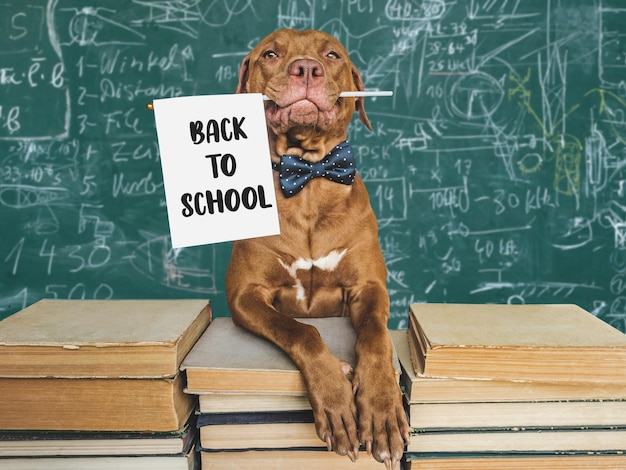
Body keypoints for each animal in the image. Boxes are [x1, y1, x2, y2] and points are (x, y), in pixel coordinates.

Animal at [225, 28, 410, 466]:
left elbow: (375, 336)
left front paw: (381, 408)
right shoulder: (245, 295)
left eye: (332, 55)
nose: (306, 68)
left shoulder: (369, 288)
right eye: (270, 54)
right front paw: (337, 397)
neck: (308, 179)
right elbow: (301, 330)